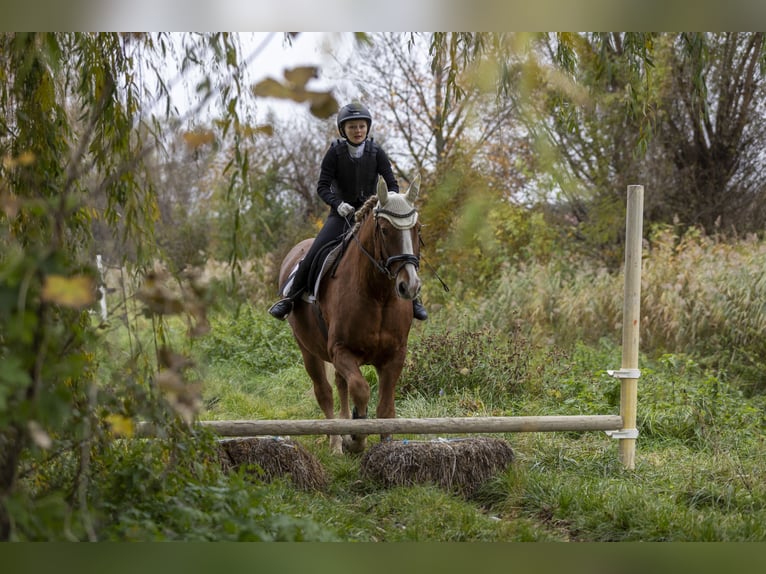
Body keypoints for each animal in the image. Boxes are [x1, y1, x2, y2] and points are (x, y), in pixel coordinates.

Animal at [277, 175, 422, 454]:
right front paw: (356, 438)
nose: (409, 286)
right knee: (324, 392)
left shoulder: (395, 355)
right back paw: (336, 443)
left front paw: (385, 444)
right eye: (385, 230)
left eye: (417, 230)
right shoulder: (342, 351)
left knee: (339, 384)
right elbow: (361, 389)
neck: (377, 295)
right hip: (308, 350)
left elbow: (385, 407)